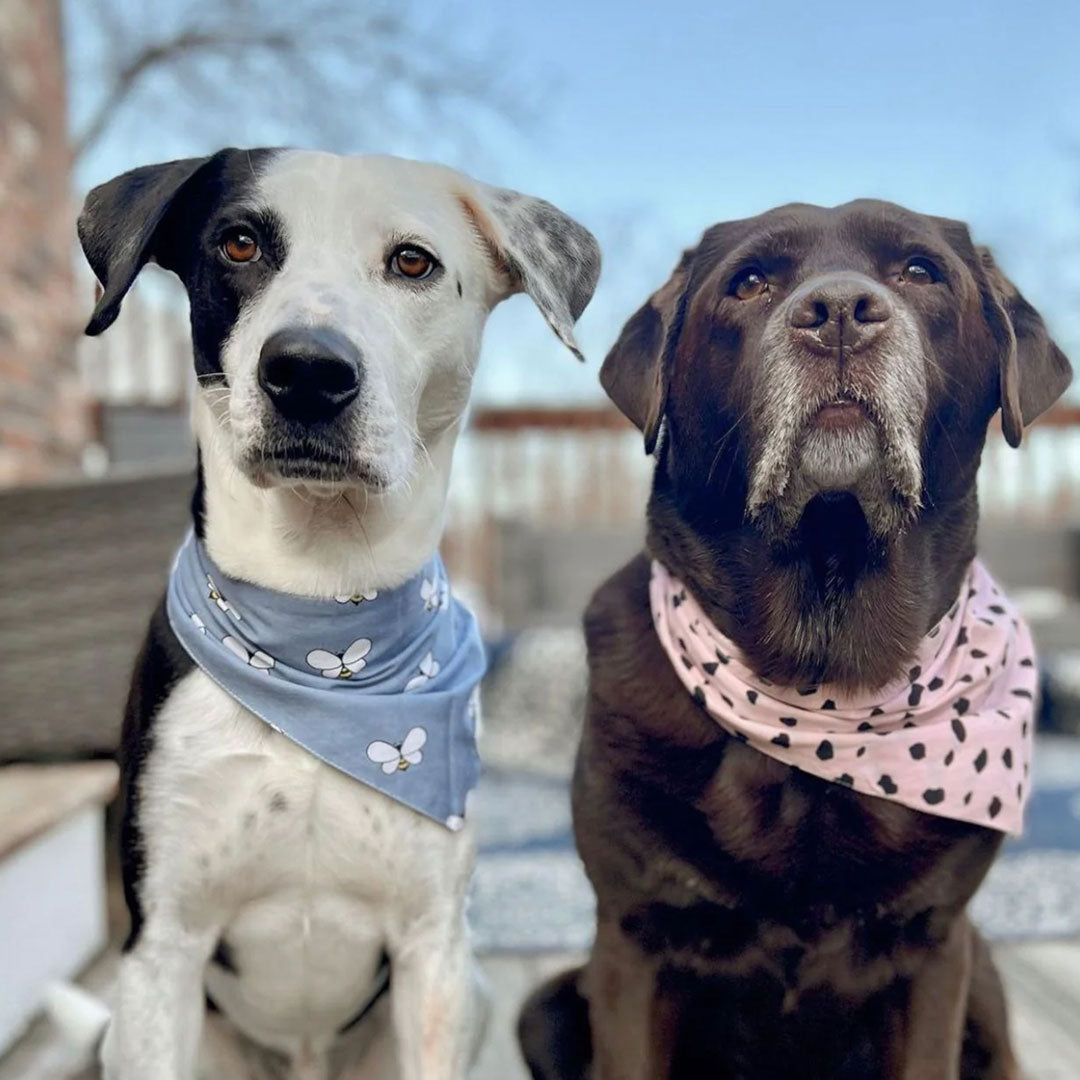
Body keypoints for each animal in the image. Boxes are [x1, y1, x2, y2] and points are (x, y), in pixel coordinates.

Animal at [516, 203, 1071, 1080]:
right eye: (749, 283)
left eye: (920, 271)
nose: (839, 311)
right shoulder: (633, 941)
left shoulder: (935, 949)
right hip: (545, 1006)